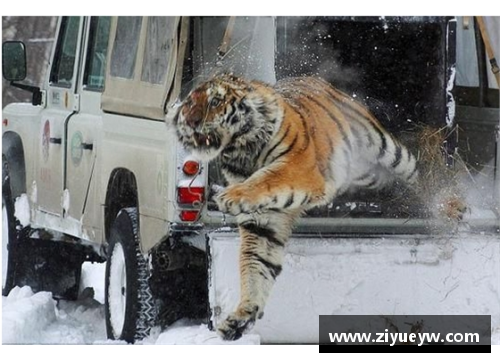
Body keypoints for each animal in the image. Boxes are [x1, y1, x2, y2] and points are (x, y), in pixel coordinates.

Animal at [172, 73, 418, 340]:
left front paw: (231, 196)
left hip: (385, 149)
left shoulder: (296, 167)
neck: (241, 151)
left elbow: (266, 178)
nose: (192, 121)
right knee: (384, 179)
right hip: (365, 172)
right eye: (189, 103)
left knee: (413, 167)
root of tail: (317, 79)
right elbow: (255, 265)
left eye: (215, 101)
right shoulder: (263, 222)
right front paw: (242, 317)